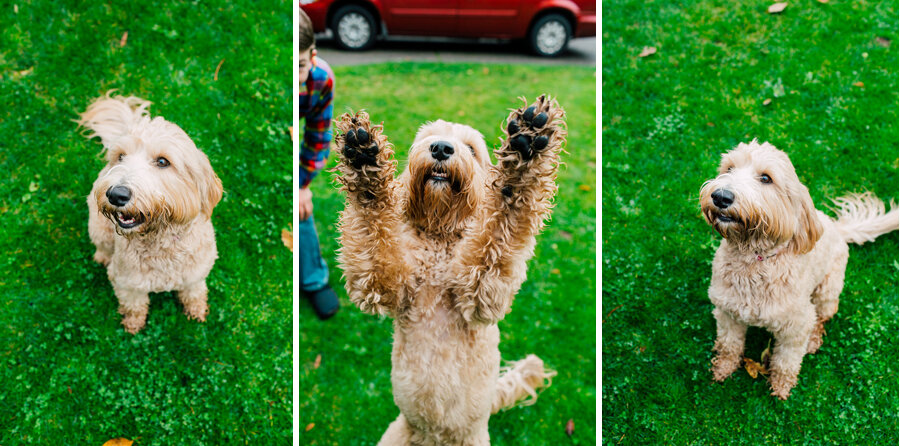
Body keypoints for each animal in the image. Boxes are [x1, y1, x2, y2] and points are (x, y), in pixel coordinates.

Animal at [79, 94, 223, 334]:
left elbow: (194, 293)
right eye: (121, 157)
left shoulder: (195, 275)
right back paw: (102, 257)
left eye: (163, 161)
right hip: (98, 228)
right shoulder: (127, 283)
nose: (116, 195)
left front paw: (196, 311)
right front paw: (133, 325)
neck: (159, 243)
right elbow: (134, 306)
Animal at [334, 96, 568, 444]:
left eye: (470, 148)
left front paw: (526, 149)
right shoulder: (382, 284)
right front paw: (364, 161)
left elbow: (505, 217)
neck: (440, 234)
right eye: (429, 137)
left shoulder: (483, 291)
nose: (442, 148)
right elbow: (373, 228)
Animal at [700, 140, 896, 400]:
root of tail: (837, 228)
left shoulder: (796, 326)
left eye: (766, 178)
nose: (721, 196)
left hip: (827, 290)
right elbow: (728, 345)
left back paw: (814, 339)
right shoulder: (727, 313)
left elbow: (786, 361)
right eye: (729, 168)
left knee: (823, 316)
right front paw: (722, 368)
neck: (754, 260)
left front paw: (781, 387)